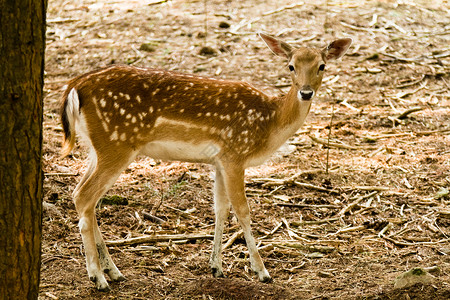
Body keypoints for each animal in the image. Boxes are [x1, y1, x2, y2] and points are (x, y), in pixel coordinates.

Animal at [59, 33, 352, 290]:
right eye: (291, 66)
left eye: (322, 66)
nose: (306, 93)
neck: (268, 124)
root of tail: (74, 87)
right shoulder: (235, 154)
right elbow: (243, 211)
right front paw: (261, 271)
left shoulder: (219, 161)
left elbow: (220, 209)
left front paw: (216, 267)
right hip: (116, 144)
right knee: (84, 196)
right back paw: (98, 278)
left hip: (97, 147)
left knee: (81, 195)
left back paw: (113, 271)